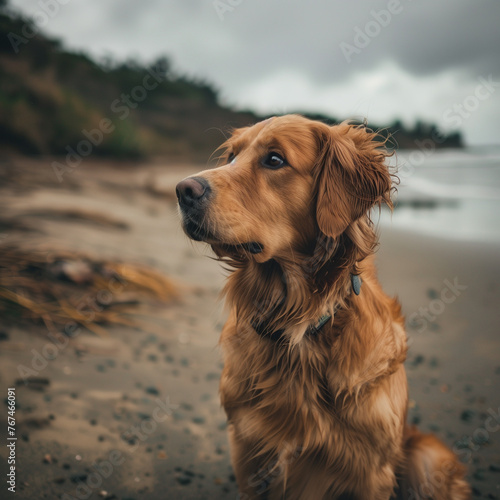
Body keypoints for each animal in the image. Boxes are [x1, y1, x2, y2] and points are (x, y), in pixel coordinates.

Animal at [175, 115, 468, 498]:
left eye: (274, 159)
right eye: (232, 157)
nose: (182, 190)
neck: (298, 325)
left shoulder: (372, 471)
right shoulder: (247, 450)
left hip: (428, 458)